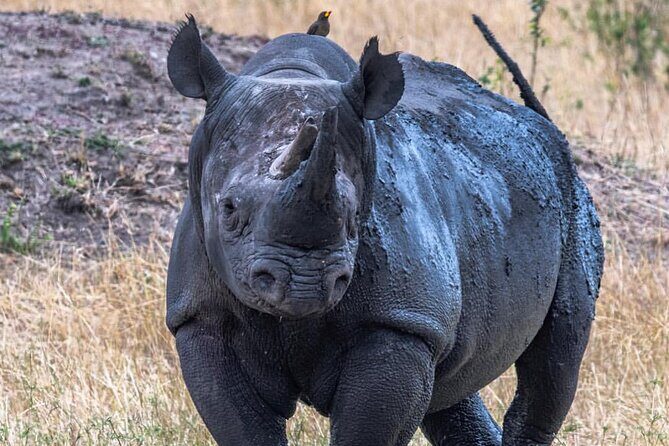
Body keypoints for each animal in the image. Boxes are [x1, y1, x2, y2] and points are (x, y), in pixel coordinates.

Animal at [165, 14, 604, 446]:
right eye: (229, 209)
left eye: (352, 217)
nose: (302, 284)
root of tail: (546, 129)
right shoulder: (201, 316)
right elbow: (243, 426)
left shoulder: (398, 322)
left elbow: (371, 425)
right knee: (449, 392)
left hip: (571, 199)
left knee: (556, 356)